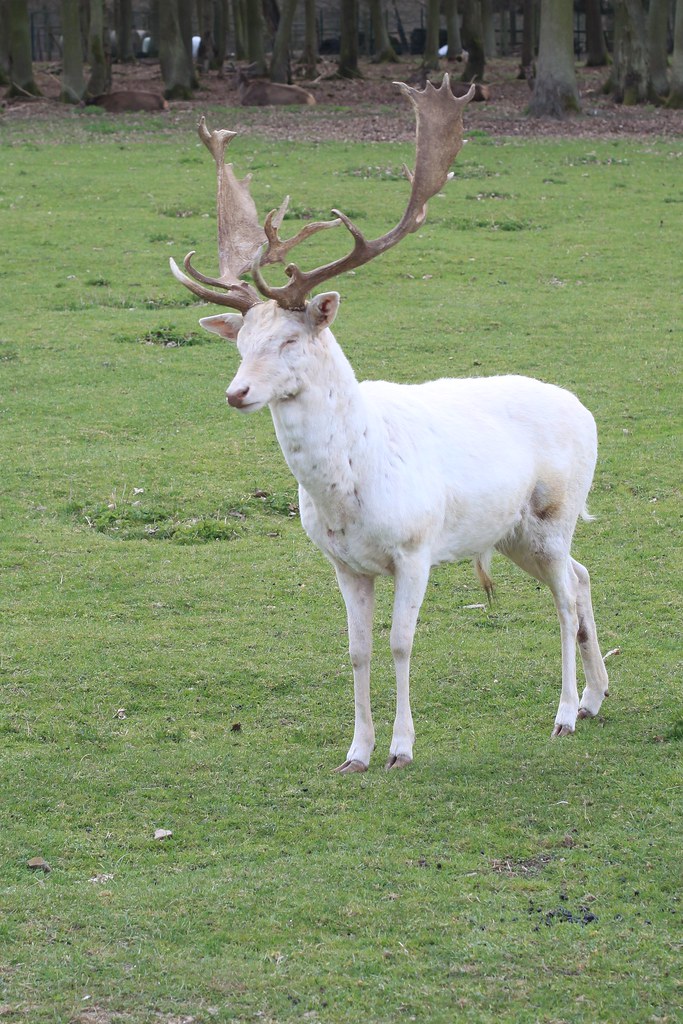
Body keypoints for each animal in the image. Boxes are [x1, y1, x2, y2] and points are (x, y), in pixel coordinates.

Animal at [170, 77, 610, 773]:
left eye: (291, 338)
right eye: (239, 341)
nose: (236, 393)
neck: (348, 490)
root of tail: (585, 410)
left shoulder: (415, 547)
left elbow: (402, 643)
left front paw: (402, 748)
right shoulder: (344, 564)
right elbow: (358, 650)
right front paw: (356, 751)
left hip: (555, 511)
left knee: (565, 600)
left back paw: (565, 713)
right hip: (514, 530)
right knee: (583, 576)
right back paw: (596, 698)